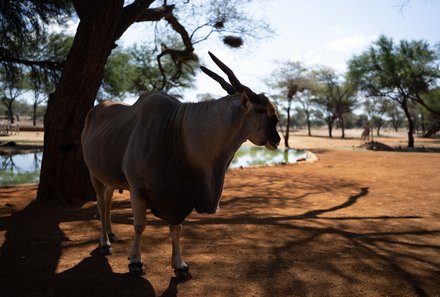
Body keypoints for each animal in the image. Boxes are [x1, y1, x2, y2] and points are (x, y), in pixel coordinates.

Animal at [81, 50, 282, 278]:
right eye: (263, 111)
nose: (277, 139)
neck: (177, 130)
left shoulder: (177, 196)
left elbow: (176, 228)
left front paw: (180, 265)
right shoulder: (137, 187)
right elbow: (140, 225)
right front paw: (136, 262)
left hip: (110, 178)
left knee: (107, 201)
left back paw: (111, 234)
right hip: (94, 174)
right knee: (101, 202)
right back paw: (104, 242)